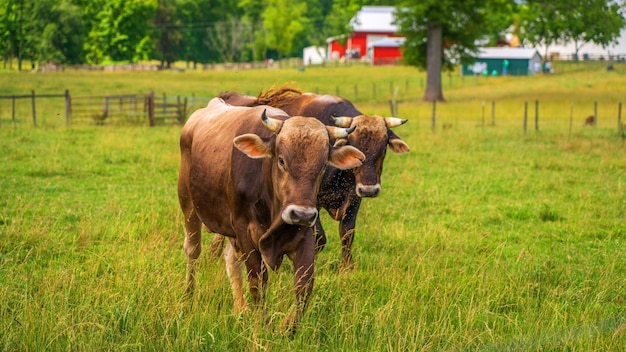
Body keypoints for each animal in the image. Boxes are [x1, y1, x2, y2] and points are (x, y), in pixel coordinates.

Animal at [177, 97, 366, 330]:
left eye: (323, 166)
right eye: (282, 160)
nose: (301, 214)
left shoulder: (304, 233)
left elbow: (304, 284)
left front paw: (287, 327)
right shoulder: (245, 231)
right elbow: (258, 280)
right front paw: (263, 325)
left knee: (231, 259)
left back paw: (240, 308)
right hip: (188, 204)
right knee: (193, 251)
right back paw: (188, 296)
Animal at [214, 88, 410, 270]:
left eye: (383, 148)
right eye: (354, 146)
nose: (369, 190)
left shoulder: (354, 199)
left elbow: (347, 233)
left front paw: (347, 267)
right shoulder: (310, 202)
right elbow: (319, 238)